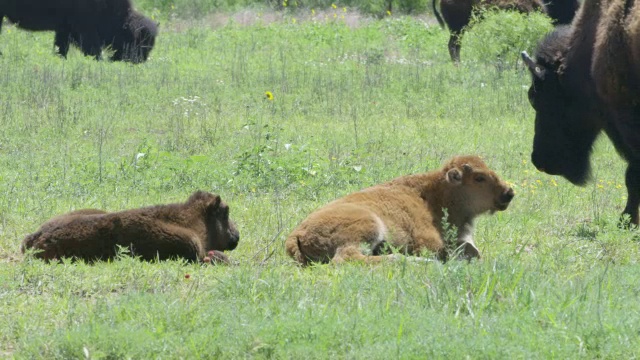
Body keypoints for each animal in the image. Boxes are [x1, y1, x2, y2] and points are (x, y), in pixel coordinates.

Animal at [0, 0, 158, 63]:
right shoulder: (85, 30)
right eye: (137, 41)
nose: (139, 61)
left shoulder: (64, 29)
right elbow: (93, 50)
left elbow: (61, 48)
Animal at [284, 155, 516, 264]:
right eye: (479, 177)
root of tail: (295, 235)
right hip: (368, 226)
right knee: (349, 258)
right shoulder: (428, 242)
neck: (436, 195)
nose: (508, 193)